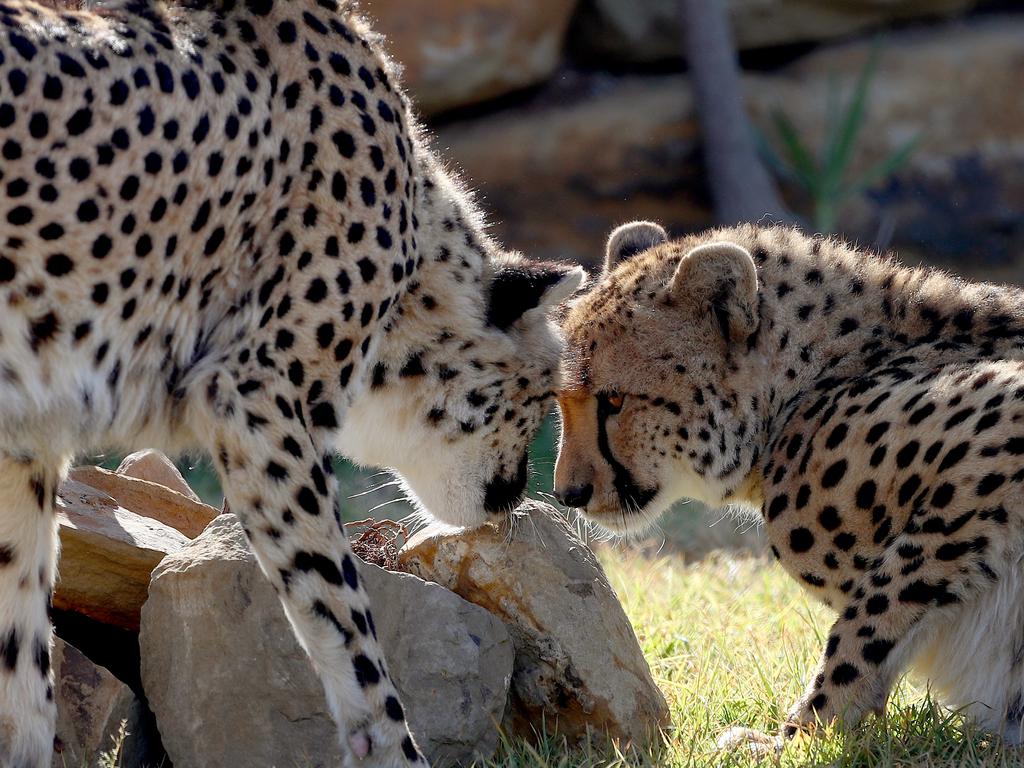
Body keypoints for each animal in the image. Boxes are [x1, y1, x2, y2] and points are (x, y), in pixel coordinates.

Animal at [0, 3, 585, 765]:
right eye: (542, 397)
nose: (514, 495)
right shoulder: (257, 399)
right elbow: (348, 630)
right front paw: (395, 749)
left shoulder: (24, 440)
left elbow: (20, 659)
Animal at [557, 224, 1024, 753]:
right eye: (561, 399)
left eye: (614, 400)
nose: (568, 493)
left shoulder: (997, 428)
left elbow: (867, 625)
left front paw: (796, 739)